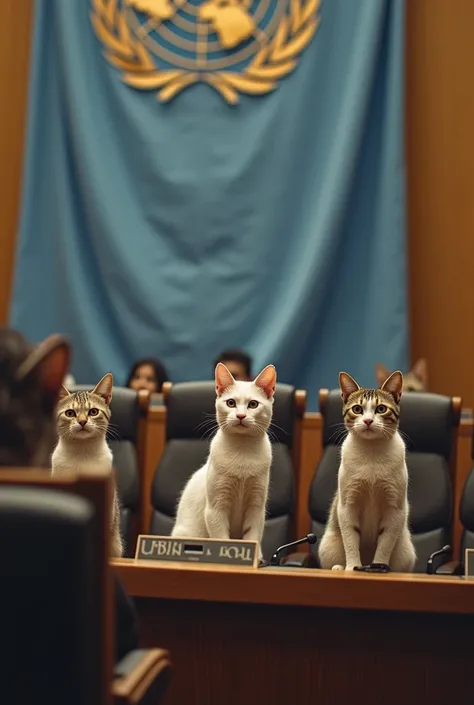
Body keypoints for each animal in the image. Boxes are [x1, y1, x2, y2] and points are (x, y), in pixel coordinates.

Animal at [170, 364, 276, 560]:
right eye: (231, 403)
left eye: (253, 404)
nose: (240, 415)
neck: (242, 452)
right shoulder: (215, 508)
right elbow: (221, 537)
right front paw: (226, 555)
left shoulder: (256, 508)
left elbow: (253, 536)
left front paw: (254, 557)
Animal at [318, 368, 414, 572]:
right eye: (357, 409)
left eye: (381, 409)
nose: (368, 420)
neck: (371, 454)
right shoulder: (348, 505)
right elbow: (350, 541)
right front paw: (352, 567)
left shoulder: (394, 509)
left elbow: (385, 544)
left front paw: (378, 567)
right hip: (329, 545)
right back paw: (338, 567)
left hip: (405, 550)